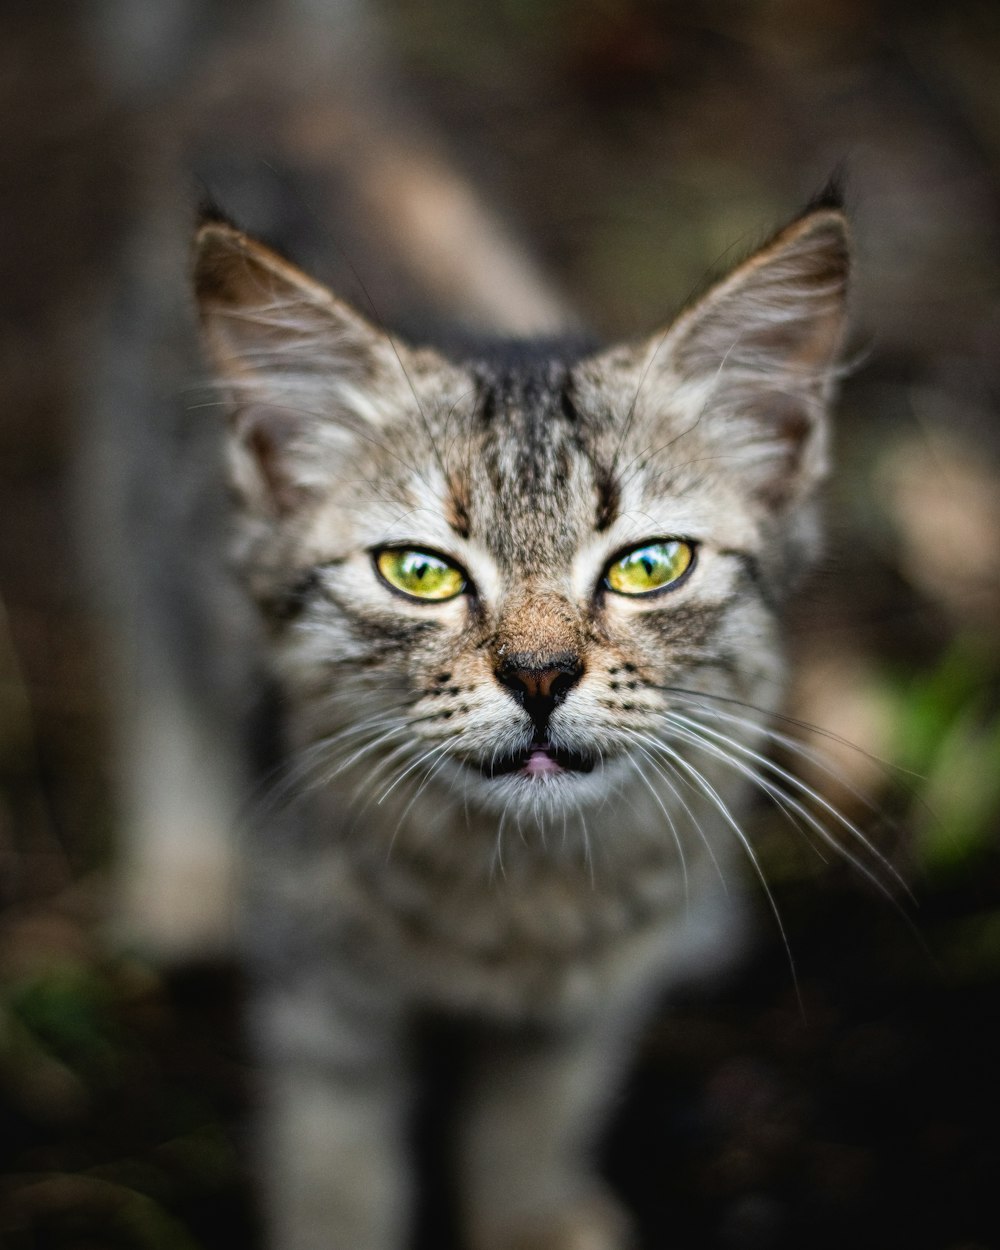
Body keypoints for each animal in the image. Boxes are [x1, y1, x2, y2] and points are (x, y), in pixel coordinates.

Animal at [195, 192, 850, 1250]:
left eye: (651, 564)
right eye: (418, 572)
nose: (540, 677)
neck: (515, 887)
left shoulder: (589, 994)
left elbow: (537, 1116)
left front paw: (530, 1219)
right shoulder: (317, 977)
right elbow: (334, 1151)